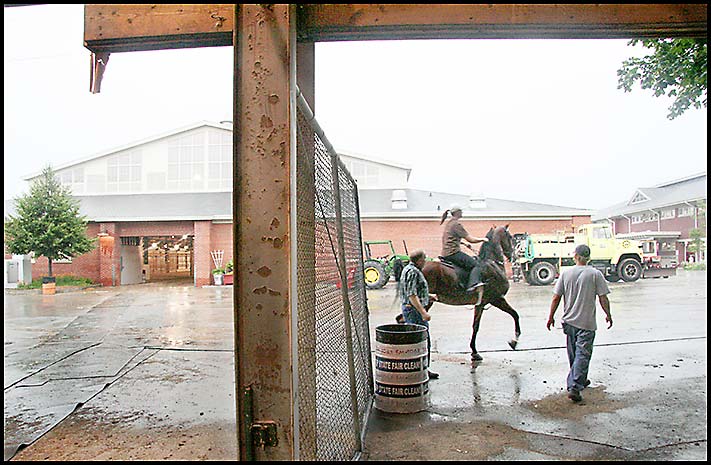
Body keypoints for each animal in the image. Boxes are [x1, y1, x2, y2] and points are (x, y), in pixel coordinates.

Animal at [420, 223, 520, 360]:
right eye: (510, 237)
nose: (513, 257)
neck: (492, 264)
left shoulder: (482, 303)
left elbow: (476, 326)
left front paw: (474, 351)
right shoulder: (496, 299)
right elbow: (514, 314)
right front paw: (514, 342)